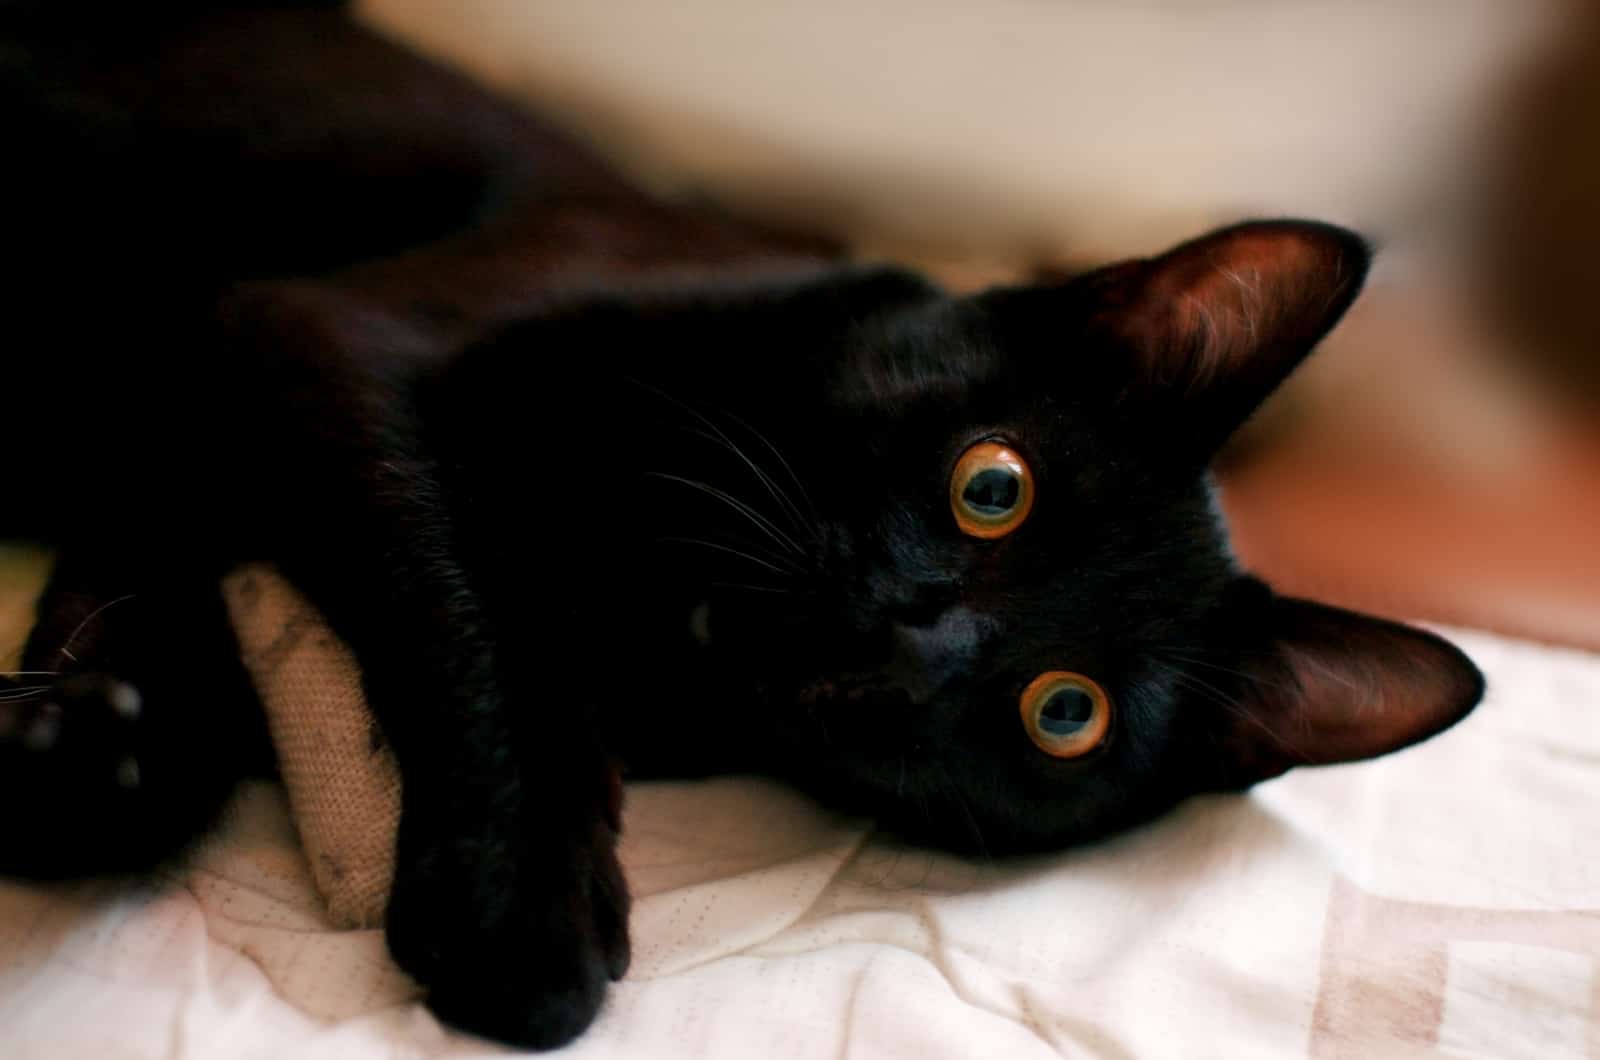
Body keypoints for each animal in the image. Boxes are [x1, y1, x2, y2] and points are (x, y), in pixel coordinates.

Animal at [0, 2, 1484, 1056]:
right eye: (990, 486)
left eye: (1066, 714)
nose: (917, 639)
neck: (668, 611)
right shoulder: (333, 343)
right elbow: (481, 608)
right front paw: (519, 910)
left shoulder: (181, 460)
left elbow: (163, 631)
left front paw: (80, 761)